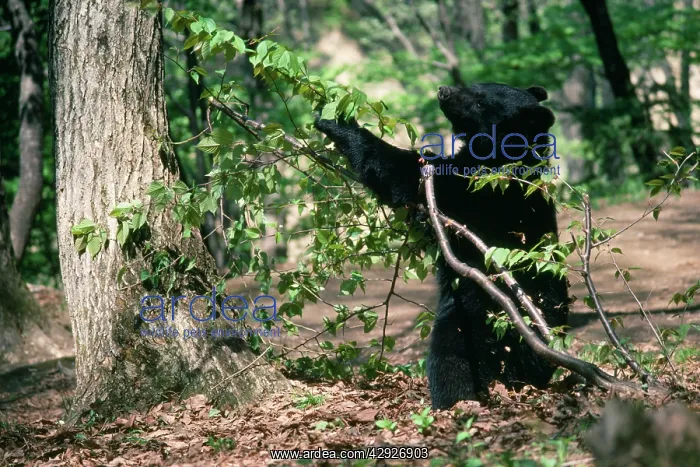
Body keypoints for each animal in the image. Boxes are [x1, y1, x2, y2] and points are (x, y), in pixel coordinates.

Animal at [315, 83, 569, 409]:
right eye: (477, 85)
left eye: (480, 101)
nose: (444, 90)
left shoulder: (480, 190)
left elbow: (404, 172)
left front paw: (332, 117)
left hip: (476, 320)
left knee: (452, 360)